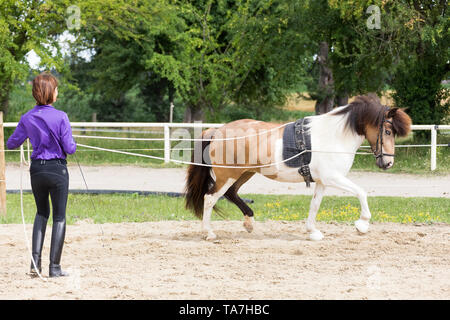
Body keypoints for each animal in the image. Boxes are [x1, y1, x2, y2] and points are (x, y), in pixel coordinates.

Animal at [184, 95, 412, 240]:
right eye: (388, 131)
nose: (388, 163)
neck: (335, 136)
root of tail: (217, 131)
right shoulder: (333, 178)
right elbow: (361, 192)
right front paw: (362, 225)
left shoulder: (322, 182)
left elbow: (315, 205)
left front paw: (313, 232)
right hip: (228, 175)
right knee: (210, 198)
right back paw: (209, 233)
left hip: (244, 173)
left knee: (230, 193)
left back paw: (249, 223)